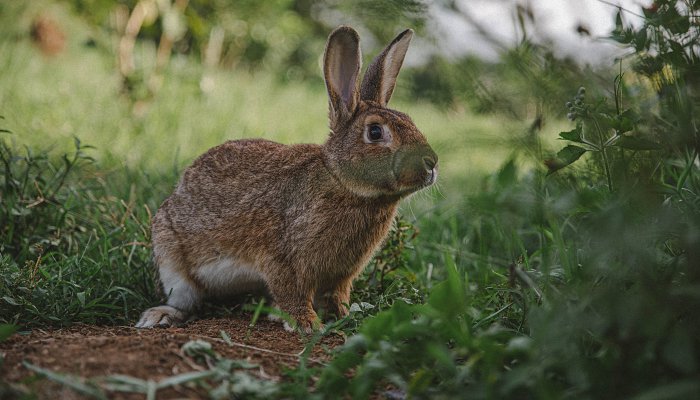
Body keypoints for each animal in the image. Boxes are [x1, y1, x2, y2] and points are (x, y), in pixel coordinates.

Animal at [136, 25, 438, 332]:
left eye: (410, 120)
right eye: (375, 132)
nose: (432, 163)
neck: (341, 181)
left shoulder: (341, 275)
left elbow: (336, 296)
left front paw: (343, 316)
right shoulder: (281, 260)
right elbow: (292, 293)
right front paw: (308, 324)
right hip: (172, 260)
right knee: (185, 300)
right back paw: (159, 316)